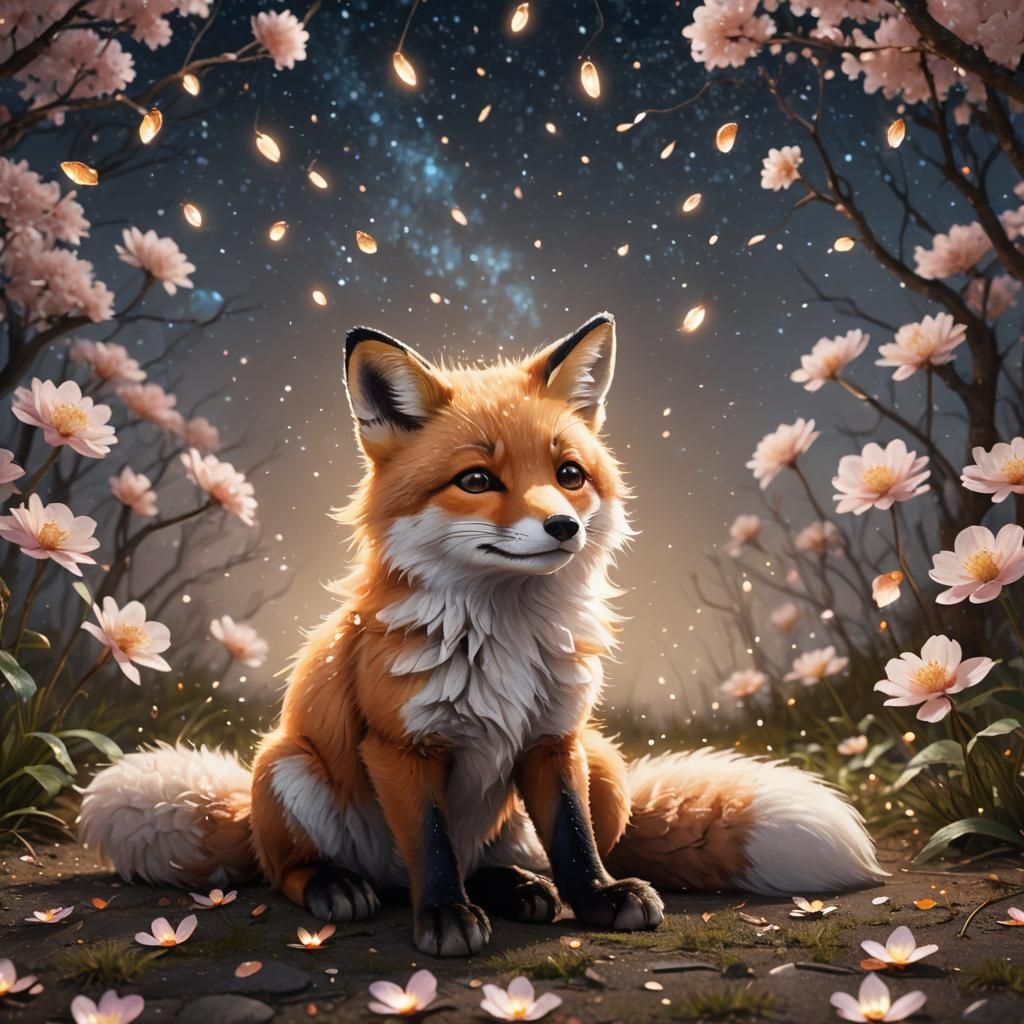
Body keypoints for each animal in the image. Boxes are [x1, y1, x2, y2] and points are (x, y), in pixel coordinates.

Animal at [79, 313, 885, 957]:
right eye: (476, 480)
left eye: (569, 473)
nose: (564, 526)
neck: (504, 639)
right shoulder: (402, 747)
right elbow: (433, 847)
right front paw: (443, 919)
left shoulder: (555, 739)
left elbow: (572, 839)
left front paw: (597, 899)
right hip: (287, 766)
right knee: (295, 870)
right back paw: (340, 887)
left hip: (605, 765)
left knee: (507, 857)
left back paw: (518, 888)